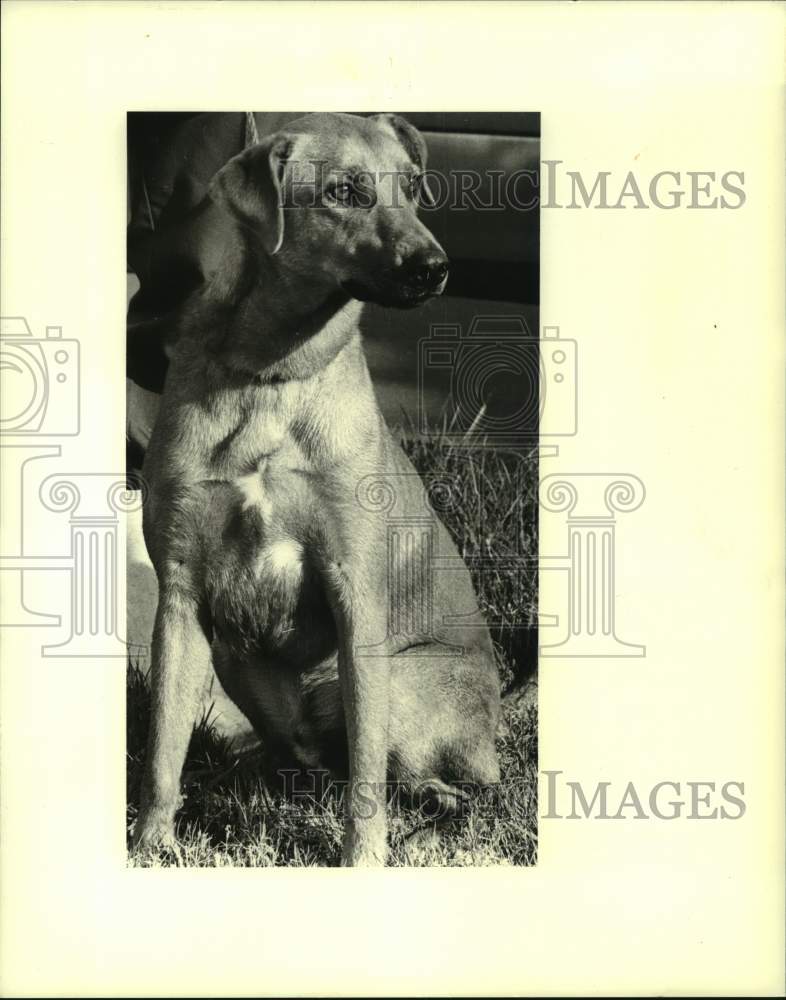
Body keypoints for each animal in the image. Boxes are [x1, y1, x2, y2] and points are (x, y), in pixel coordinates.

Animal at [132, 111, 500, 868]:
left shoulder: (353, 588)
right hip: (235, 660)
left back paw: (421, 828)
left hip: (406, 689)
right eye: (342, 191)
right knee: (308, 761)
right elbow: (161, 751)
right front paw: (150, 848)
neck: (276, 373)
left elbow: (366, 773)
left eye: (411, 186)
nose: (436, 268)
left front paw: (363, 861)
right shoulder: (181, 594)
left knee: (451, 788)